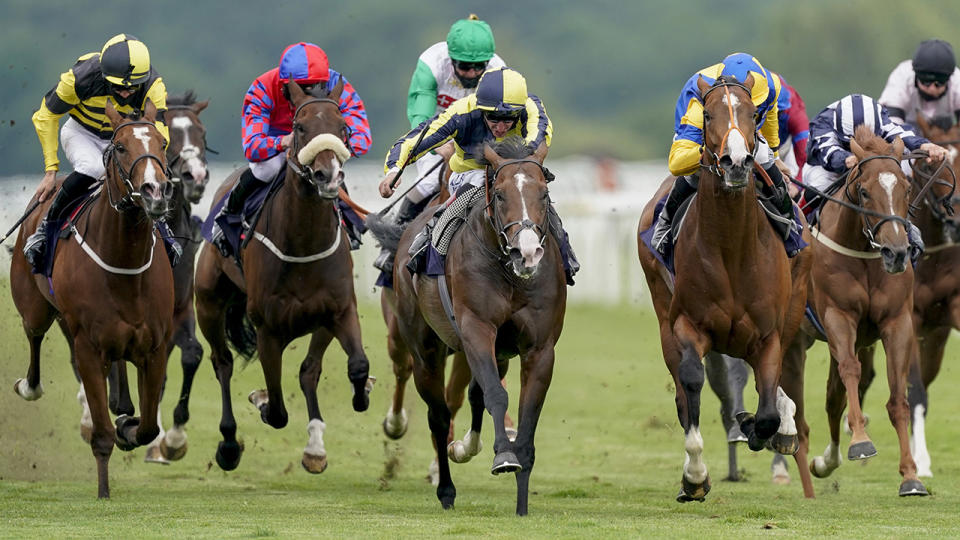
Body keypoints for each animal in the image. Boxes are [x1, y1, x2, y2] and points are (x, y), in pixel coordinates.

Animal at [9, 100, 176, 498]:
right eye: (121, 148)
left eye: (162, 143)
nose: (155, 191)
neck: (124, 262)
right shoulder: (88, 346)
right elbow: (102, 433)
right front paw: (103, 490)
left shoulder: (155, 346)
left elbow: (147, 426)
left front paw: (129, 425)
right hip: (35, 307)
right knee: (34, 336)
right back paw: (30, 386)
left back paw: (123, 404)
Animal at [194, 80, 372, 472]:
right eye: (300, 127)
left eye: (343, 127)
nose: (327, 176)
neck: (303, 244)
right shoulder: (268, 330)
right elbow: (276, 409)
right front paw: (260, 399)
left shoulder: (339, 310)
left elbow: (354, 365)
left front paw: (361, 395)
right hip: (208, 304)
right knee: (222, 363)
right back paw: (228, 445)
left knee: (308, 370)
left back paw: (315, 447)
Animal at [386, 138, 568, 516]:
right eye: (499, 195)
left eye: (544, 194)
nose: (528, 253)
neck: (510, 274)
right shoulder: (477, 329)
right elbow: (496, 395)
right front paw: (503, 457)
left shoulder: (539, 348)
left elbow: (527, 413)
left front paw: (522, 499)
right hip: (424, 348)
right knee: (439, 415)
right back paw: (446, 488)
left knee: (471, 395)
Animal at [636, 75, 808, 502]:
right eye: (708, 115)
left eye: (753, 115)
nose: (736, 162)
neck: (732, 248)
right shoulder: (687, 325)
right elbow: (691, 384)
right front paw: (695, 476)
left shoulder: (767, 333)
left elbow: (766, 410)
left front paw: (765, 427)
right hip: (663, 311)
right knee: (685, 392)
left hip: (794, 307)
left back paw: (784, 427)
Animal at [808, 124, 932, 496]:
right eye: (864, 192)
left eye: (907, 188)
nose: (896, 253)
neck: (862, 253)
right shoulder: (838, 316)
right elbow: (851, 370)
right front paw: (861, 441)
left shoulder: (897, 322)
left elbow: (898, 399)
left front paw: (911, 475)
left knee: (833, 398)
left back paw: (827, 460)